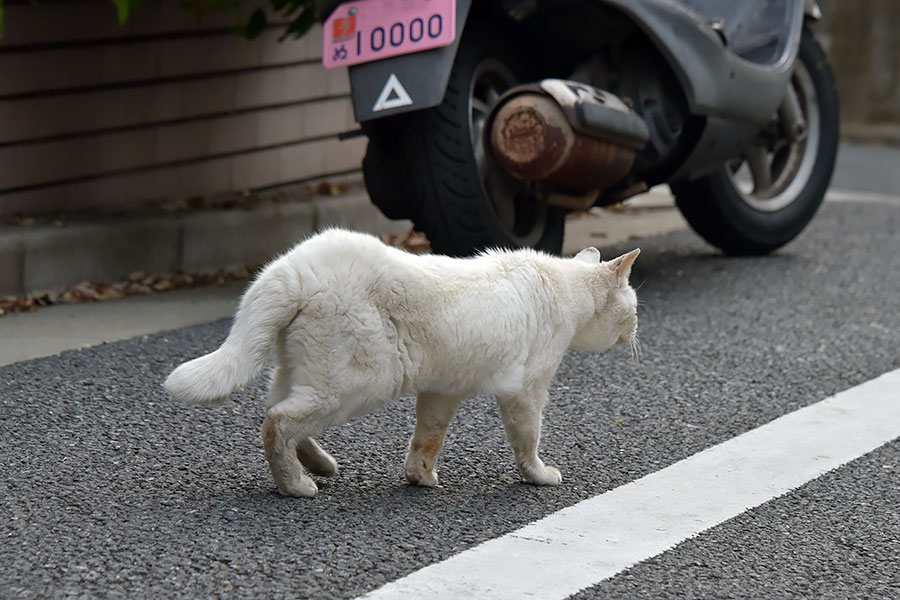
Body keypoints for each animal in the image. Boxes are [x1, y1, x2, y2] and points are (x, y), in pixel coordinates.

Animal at [163, 229, 640, 496]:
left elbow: (428, 437)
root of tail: (292, 268)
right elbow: (528, 439)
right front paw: (538, 475)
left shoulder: (442, 390)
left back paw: (319, 465)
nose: (636, 330)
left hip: (306, 374)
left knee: (276, 409)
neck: (563, 285)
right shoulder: (526, 391)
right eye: (634, 309)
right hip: (357, 383)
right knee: (278, 421)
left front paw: (419, 477)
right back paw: (295, 485)